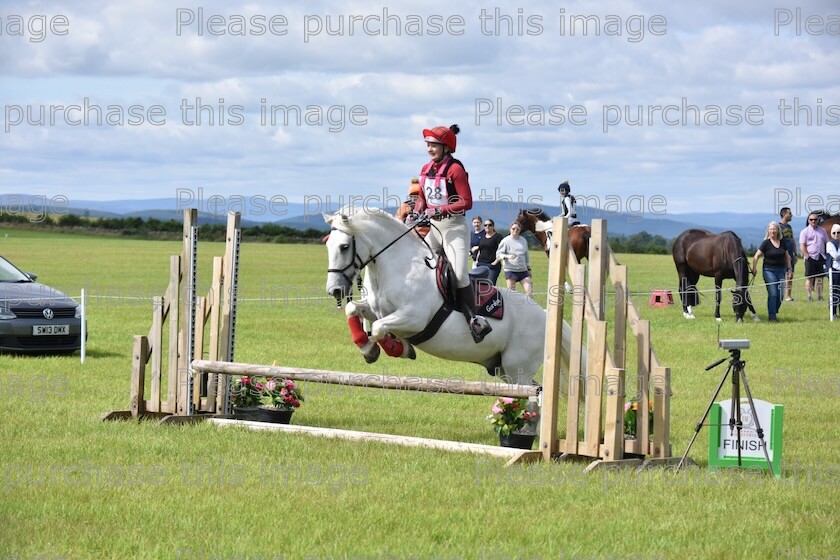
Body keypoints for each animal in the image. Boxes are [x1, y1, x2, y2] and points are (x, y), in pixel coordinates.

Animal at [324, 208, 576, 388]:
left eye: (344, 247)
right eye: (328, 245)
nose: (334, 291)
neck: (397, 266)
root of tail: (544, 315)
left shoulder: (414, 318)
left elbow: (377, 328)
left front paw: (394, 348)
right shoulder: (377, 310)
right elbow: (354, 310)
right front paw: (370, 348)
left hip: (517, 369)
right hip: (503, 369)